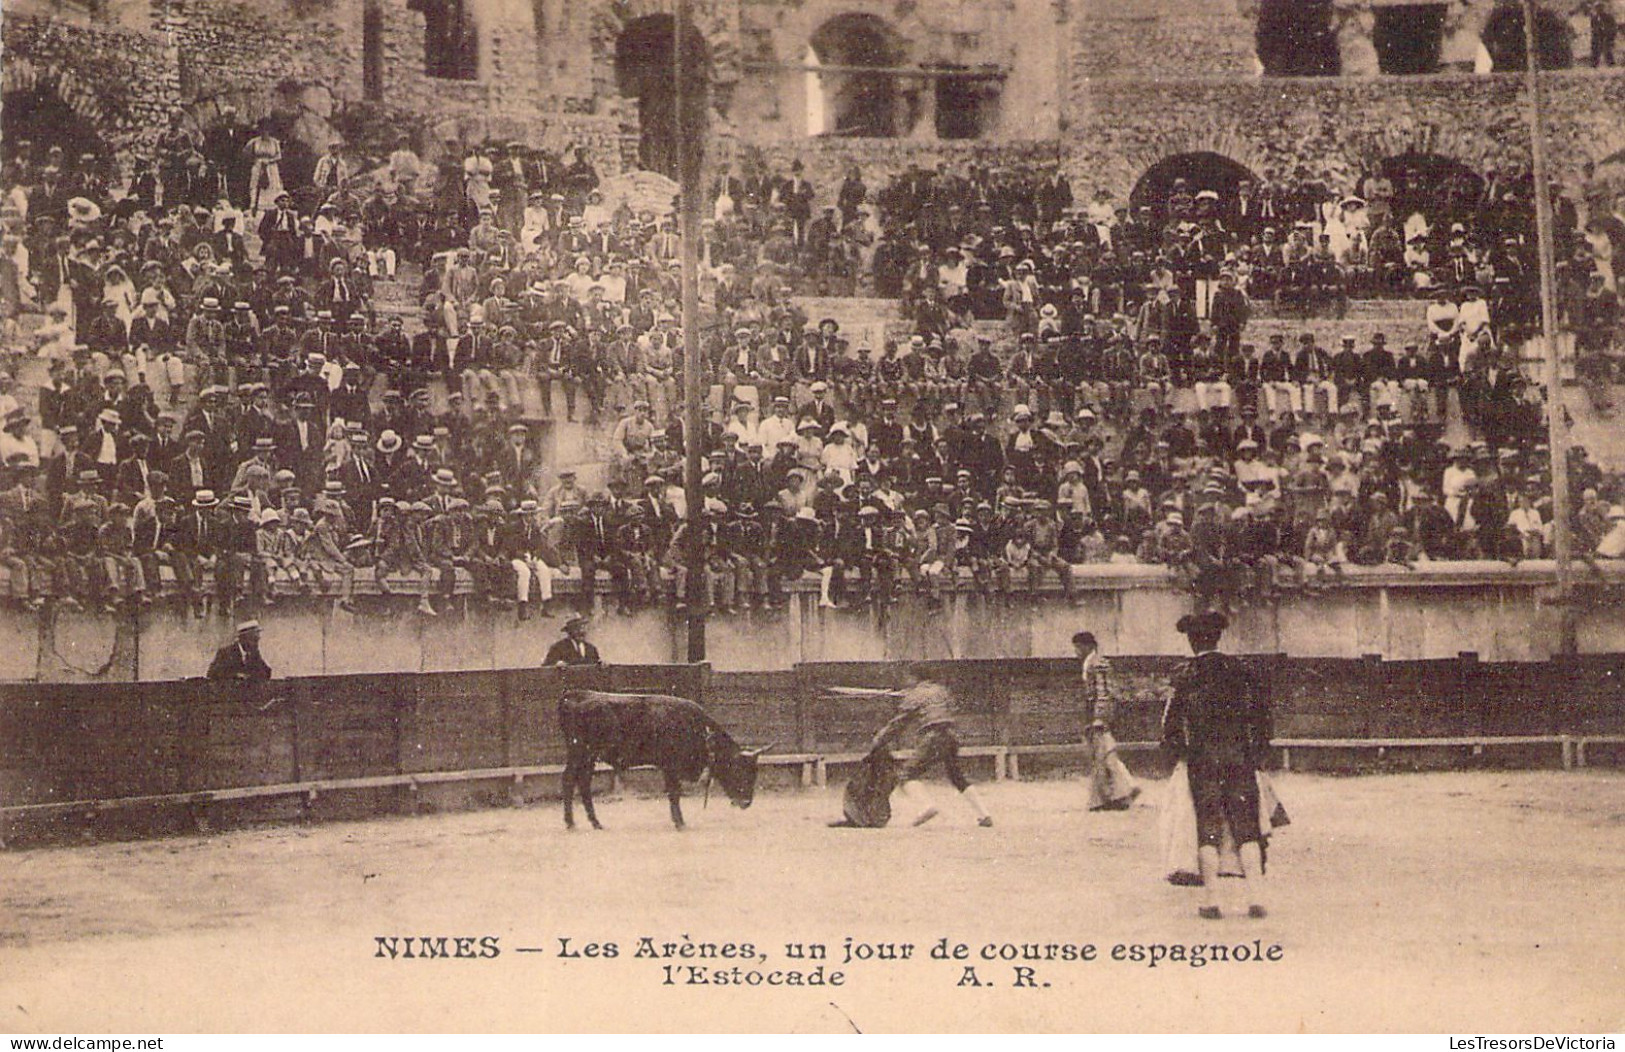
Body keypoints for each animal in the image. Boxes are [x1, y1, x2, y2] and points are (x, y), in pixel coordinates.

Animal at [559, 692, 773, 832]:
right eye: (738, 771)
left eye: (755, 773)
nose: (746, 802)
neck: (699, 730)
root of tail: (575, 696)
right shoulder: (671, 767)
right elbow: (674, 793)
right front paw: (680, 823)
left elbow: (673, 793)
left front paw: (678, 821)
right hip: (580, 753)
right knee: (569, 780)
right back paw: (571, 823)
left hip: (587, 757)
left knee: (583, 783)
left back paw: (594, 823)